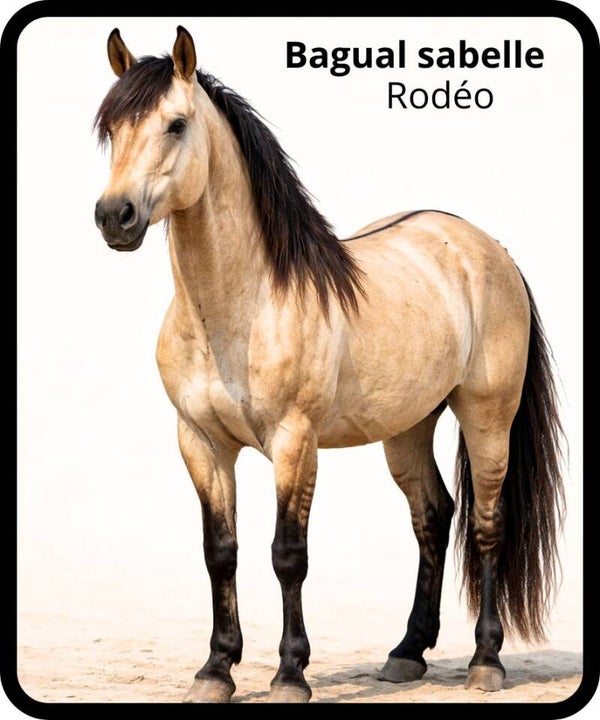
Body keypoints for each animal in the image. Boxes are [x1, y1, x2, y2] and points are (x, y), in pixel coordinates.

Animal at [93, 26, 565, 703]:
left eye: (176, 124)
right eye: (110, 128)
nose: (115, 217)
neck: (243, 307)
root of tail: (488, 249)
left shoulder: (295, 442)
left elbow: (288, 554)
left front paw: (291, 674)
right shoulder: (201, 442)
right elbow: (220, 552)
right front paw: (215, 670)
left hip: (487, 417)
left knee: (486, 525)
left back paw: (486, 662)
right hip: (407, 428)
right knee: (433, 516)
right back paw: (406, 653)